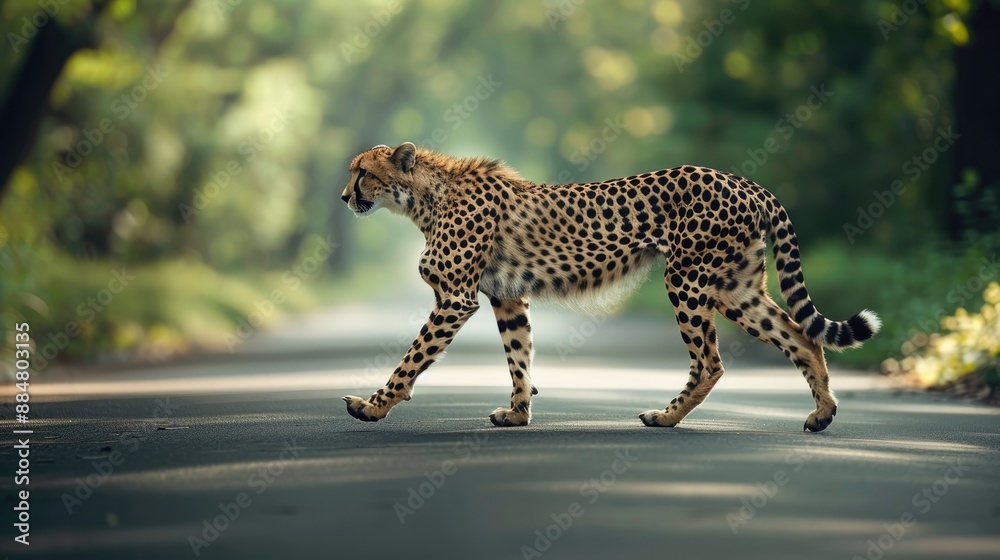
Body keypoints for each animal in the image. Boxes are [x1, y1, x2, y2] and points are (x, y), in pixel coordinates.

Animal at [339, 142, 880, 432]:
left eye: (363, 172)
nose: (344, 196)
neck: (424, 196)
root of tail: (745, 181)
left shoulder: (455, 299)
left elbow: (410, 360)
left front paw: (373, 405)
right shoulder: (508, 297)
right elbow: (520, 358)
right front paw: (518, 414)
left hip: (687, 279)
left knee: (710, 361)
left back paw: (665, 417)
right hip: (736, 288)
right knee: (802, 337)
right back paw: (823, 414)